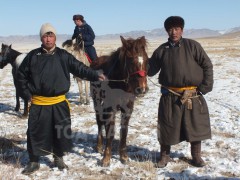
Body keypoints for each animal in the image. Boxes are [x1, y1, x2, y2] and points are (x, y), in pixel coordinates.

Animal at [91, 35, 149, 167]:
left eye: (146, 60)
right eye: (131, 60)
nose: (142, 89)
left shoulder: (127, 109)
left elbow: (124, 131)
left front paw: (124, 156)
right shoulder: (110, 109)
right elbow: (111, 132)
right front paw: (106, 158)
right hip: (96, 101)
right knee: (99, 121)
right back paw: (99, 145)